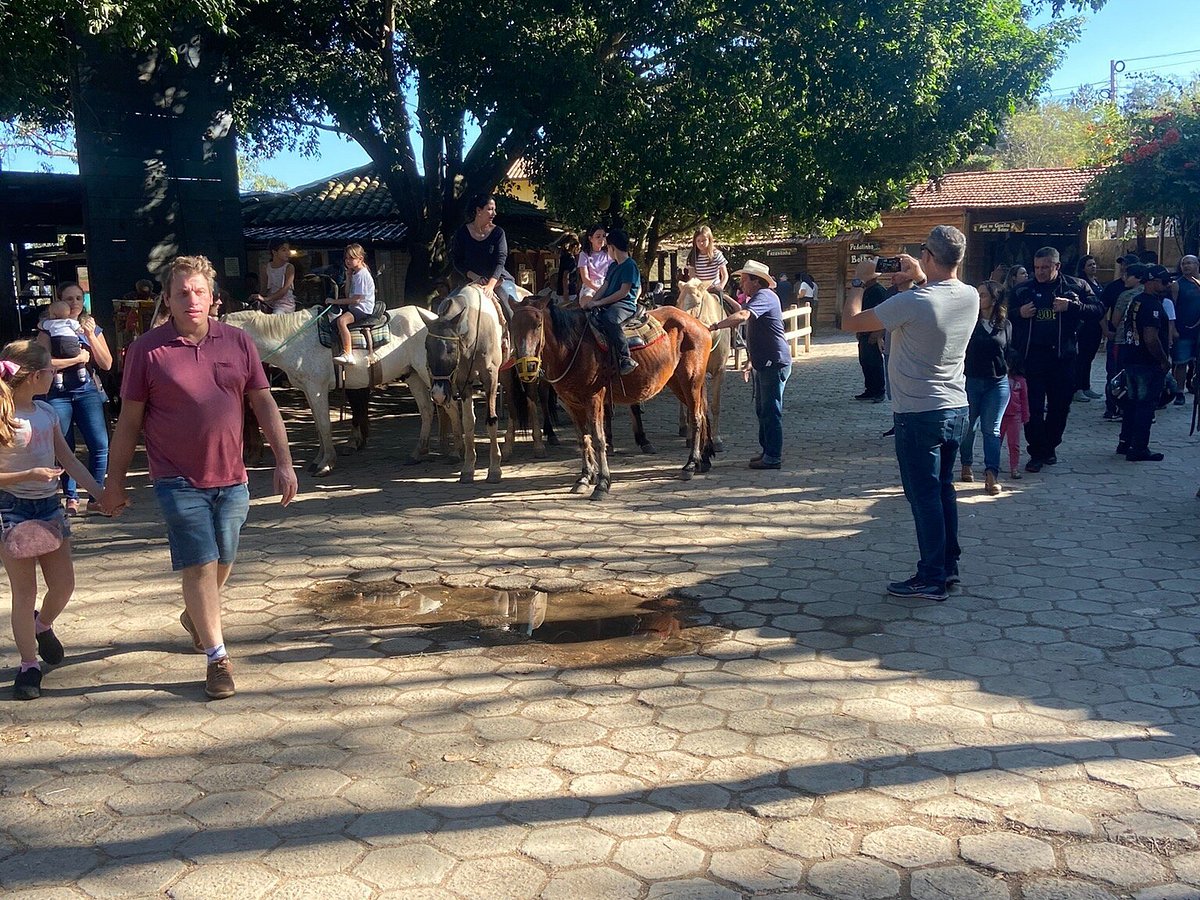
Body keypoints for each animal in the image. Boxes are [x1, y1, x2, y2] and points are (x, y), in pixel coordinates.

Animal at [224, 309, 441, 480]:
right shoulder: (309, 390)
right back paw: (418, 452)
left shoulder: (317, 389)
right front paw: (318, 460)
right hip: (413, 375)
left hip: (427, 374)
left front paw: (326, 464)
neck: (292, 342)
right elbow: (318, 427)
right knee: (427, 410)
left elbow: (324, 425)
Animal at [508, 297, 710, 501]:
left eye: (538, 325)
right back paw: (704, 461)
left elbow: (598, 439)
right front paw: (584, 478)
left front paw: (603, 483)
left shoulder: (594, 399)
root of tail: (699, 325)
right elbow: (583, 439)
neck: (573, 348)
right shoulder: (572, 404)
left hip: (691, 381)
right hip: (677, 383)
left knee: (696, 418)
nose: (528, 366)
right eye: (512, 325)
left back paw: (691, 464)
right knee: (702, 413)